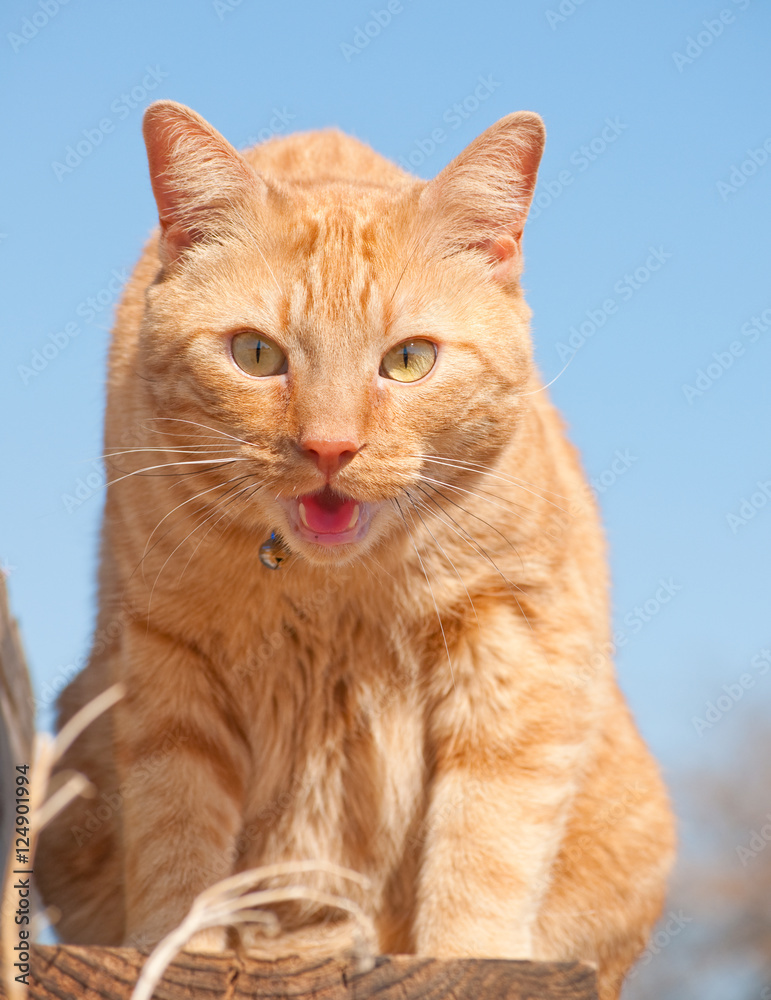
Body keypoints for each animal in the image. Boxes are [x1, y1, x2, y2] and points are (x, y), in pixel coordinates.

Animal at [37, 99, 676, 992]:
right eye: (256, 354)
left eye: (407, 361)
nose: (330, 447)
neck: (331, 589)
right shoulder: (164, 654)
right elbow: (176, 836)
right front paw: (184, 950)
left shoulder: (516, 642)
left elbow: (484, 840)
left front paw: (466, 956)